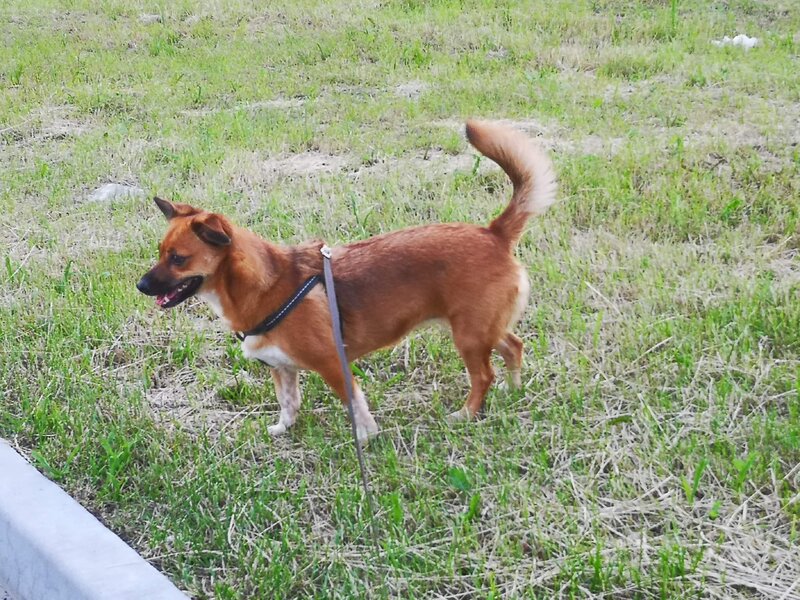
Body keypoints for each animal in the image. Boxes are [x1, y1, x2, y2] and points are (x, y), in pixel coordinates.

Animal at [137, 120, 557, 443]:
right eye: (159, 251)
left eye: (178, 259)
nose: (141, 286)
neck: (264, 284)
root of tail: (493, 233)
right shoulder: (282, 369)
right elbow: (288, 402)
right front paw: (283, 429)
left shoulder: (331, 364)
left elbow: (355, 404)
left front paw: (366, 438)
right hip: (481, 327)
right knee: (513, 347)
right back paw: (513, 390)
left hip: (468, 335)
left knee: (483, 373)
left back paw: (468, 413)